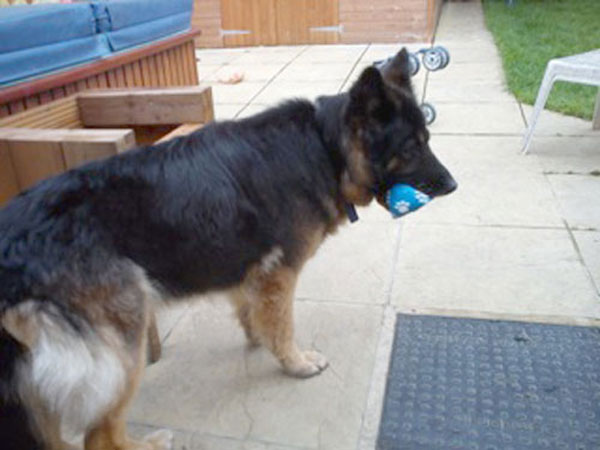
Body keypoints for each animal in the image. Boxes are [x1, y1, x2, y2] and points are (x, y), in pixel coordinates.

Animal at [0, 49, 454, 446]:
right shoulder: (281, 274)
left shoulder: (249, 267)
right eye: (410, 148)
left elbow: (253, 312)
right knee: (100, 438)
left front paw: (257, 338)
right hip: (123, 345)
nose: (453, 185)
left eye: (428, 139)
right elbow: (283, 325)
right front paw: (296, 362)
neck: (324, 148)